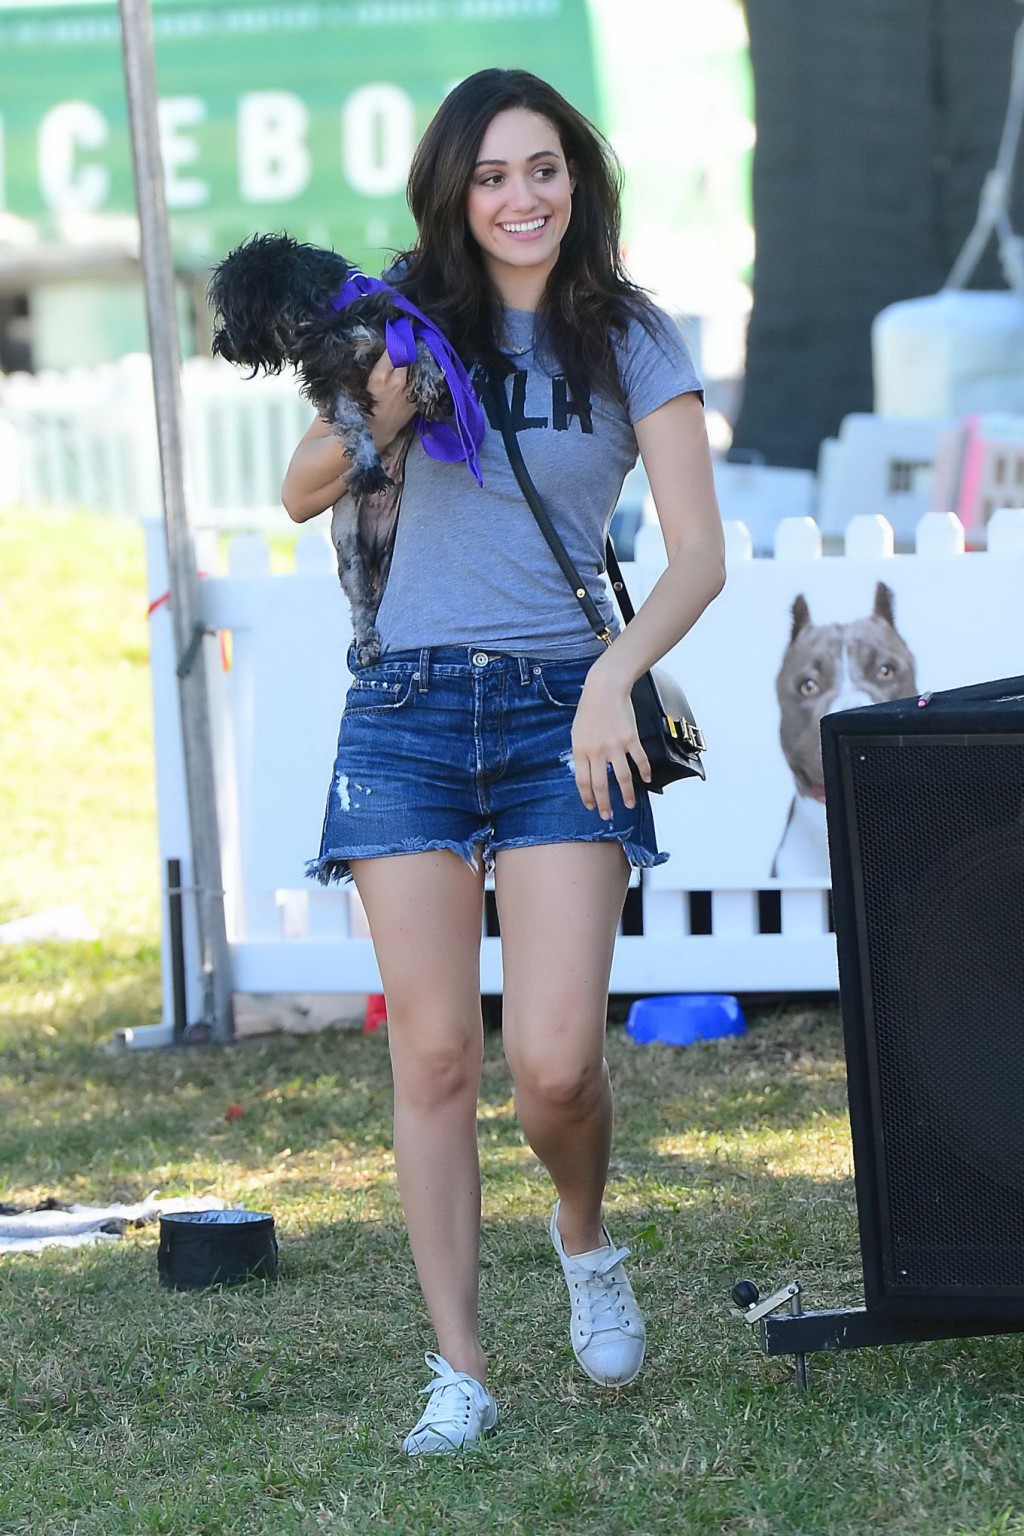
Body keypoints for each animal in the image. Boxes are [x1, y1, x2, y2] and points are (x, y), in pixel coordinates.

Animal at [204, 230, 451, 663]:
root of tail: (376, 546)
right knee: (362, 606)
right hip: (348, 552)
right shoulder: (330, 384)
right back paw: (367, 642)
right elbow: (353, 425)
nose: (221, 343)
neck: (326, 319)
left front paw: (427, 382)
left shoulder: (397, 325)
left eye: (235, 311)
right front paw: (368, 467)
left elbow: (423, 346)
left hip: (391, 553)